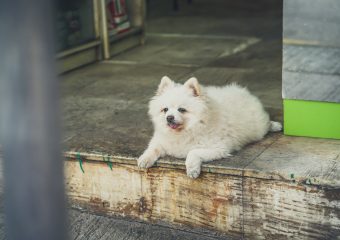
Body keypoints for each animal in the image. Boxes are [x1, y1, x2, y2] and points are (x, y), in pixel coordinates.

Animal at [137, 75, 280, 178]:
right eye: (165, 110)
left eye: (182, 110)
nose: (169, 118)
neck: (186, 131)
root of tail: (243, 92)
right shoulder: (161, 141)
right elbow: (152, 148)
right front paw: (144, 159)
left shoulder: (218, 148)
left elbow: (193, 152)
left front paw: (192, 169)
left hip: (259, 128)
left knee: (266, 124)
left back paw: (275, 125)